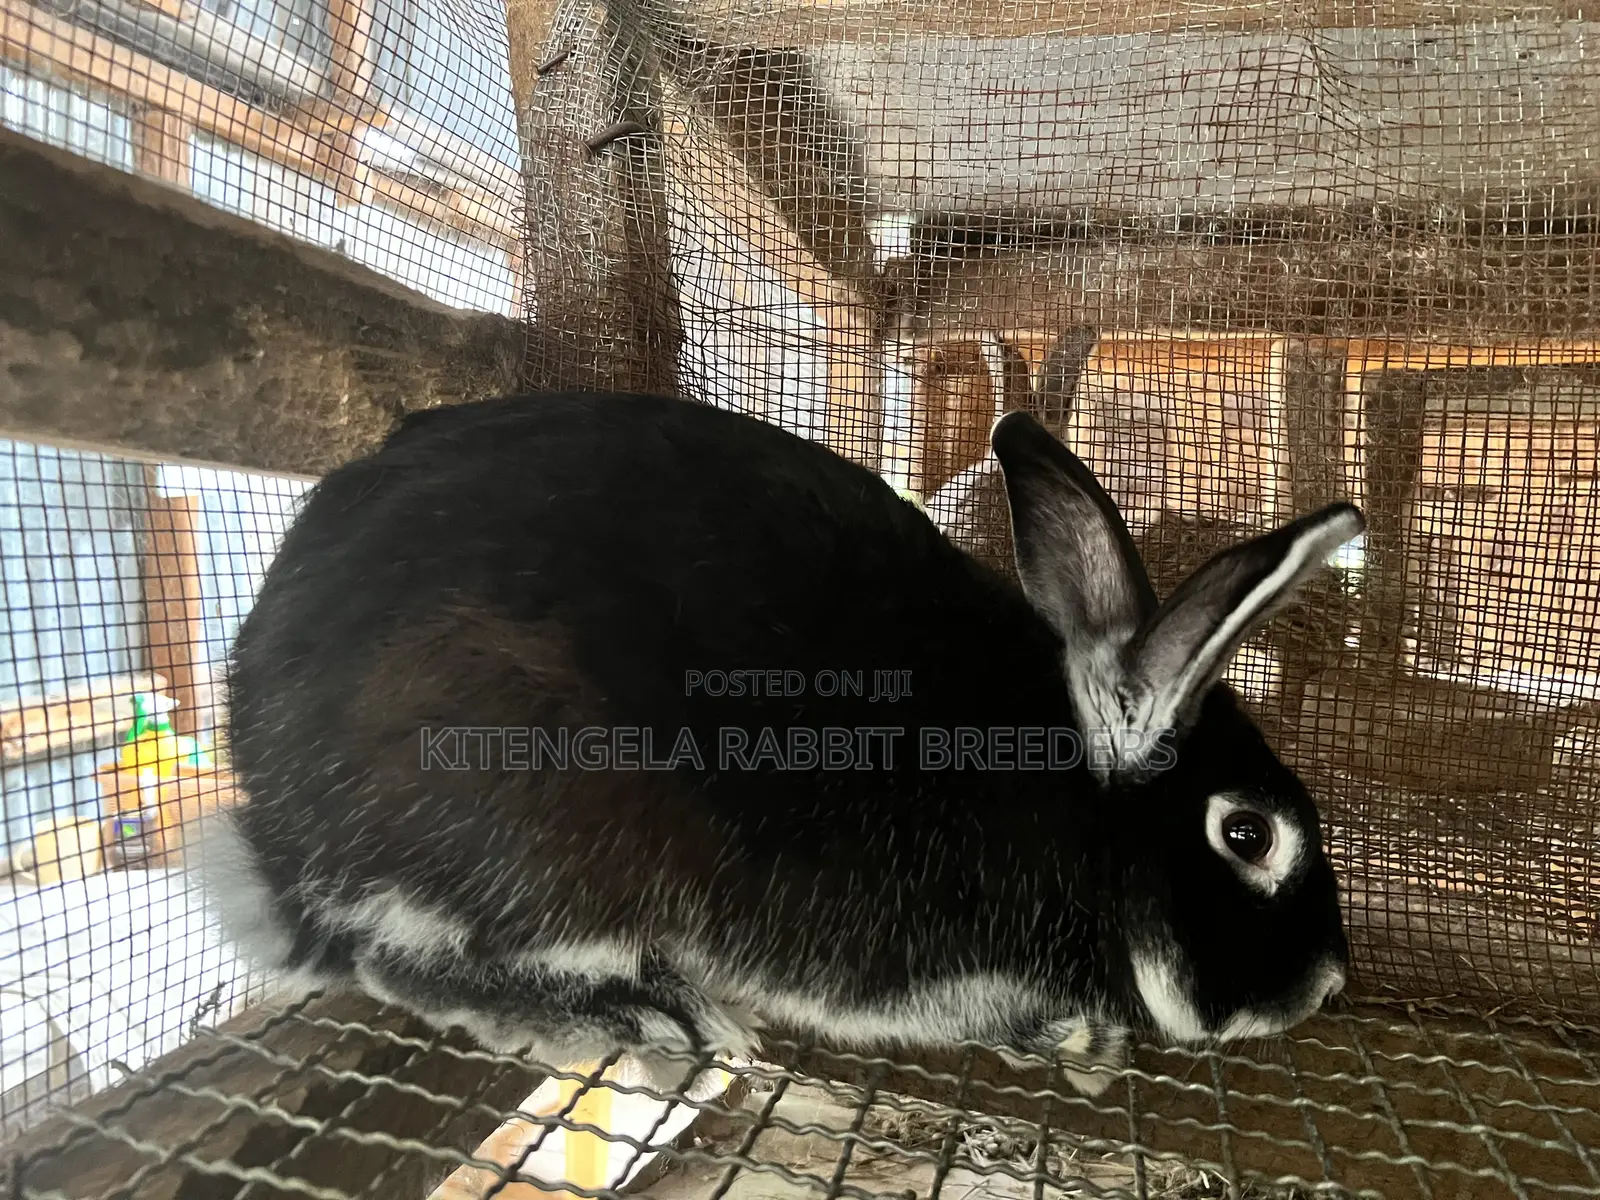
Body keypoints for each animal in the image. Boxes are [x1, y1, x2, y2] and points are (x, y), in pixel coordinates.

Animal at [199, 389, 1359, 1098]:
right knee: (399, 959)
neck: (1068, 796)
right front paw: (1074, 1039)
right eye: (1247, 836)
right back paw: (651, 1016)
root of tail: (280, 825)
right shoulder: (900, 964)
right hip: (543, 830)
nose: (1328, 986)